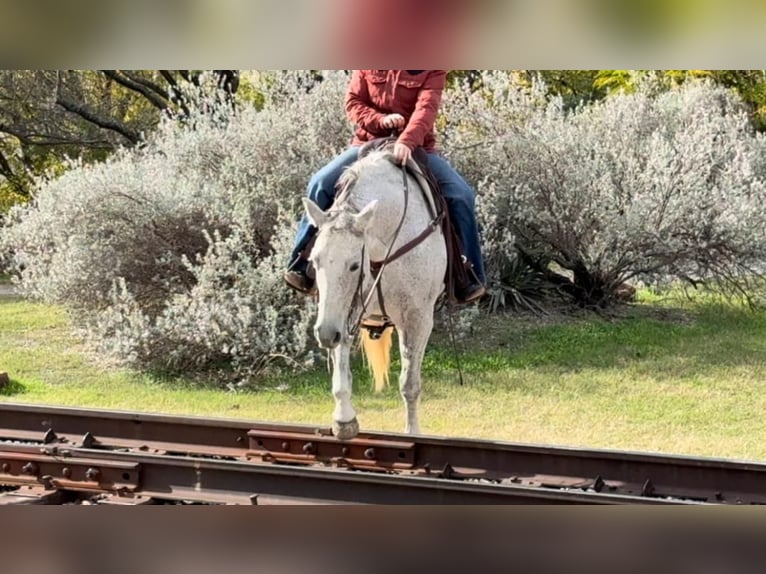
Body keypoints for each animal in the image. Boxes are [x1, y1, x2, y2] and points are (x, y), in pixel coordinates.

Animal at [304, 150, 450, 440]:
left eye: (353, 265)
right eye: (314, 261)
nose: (324, 334)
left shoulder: (418, 319)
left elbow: (409, 384)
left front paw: (412, 433)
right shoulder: (344, 313)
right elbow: (341, 374)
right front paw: (344, 419)